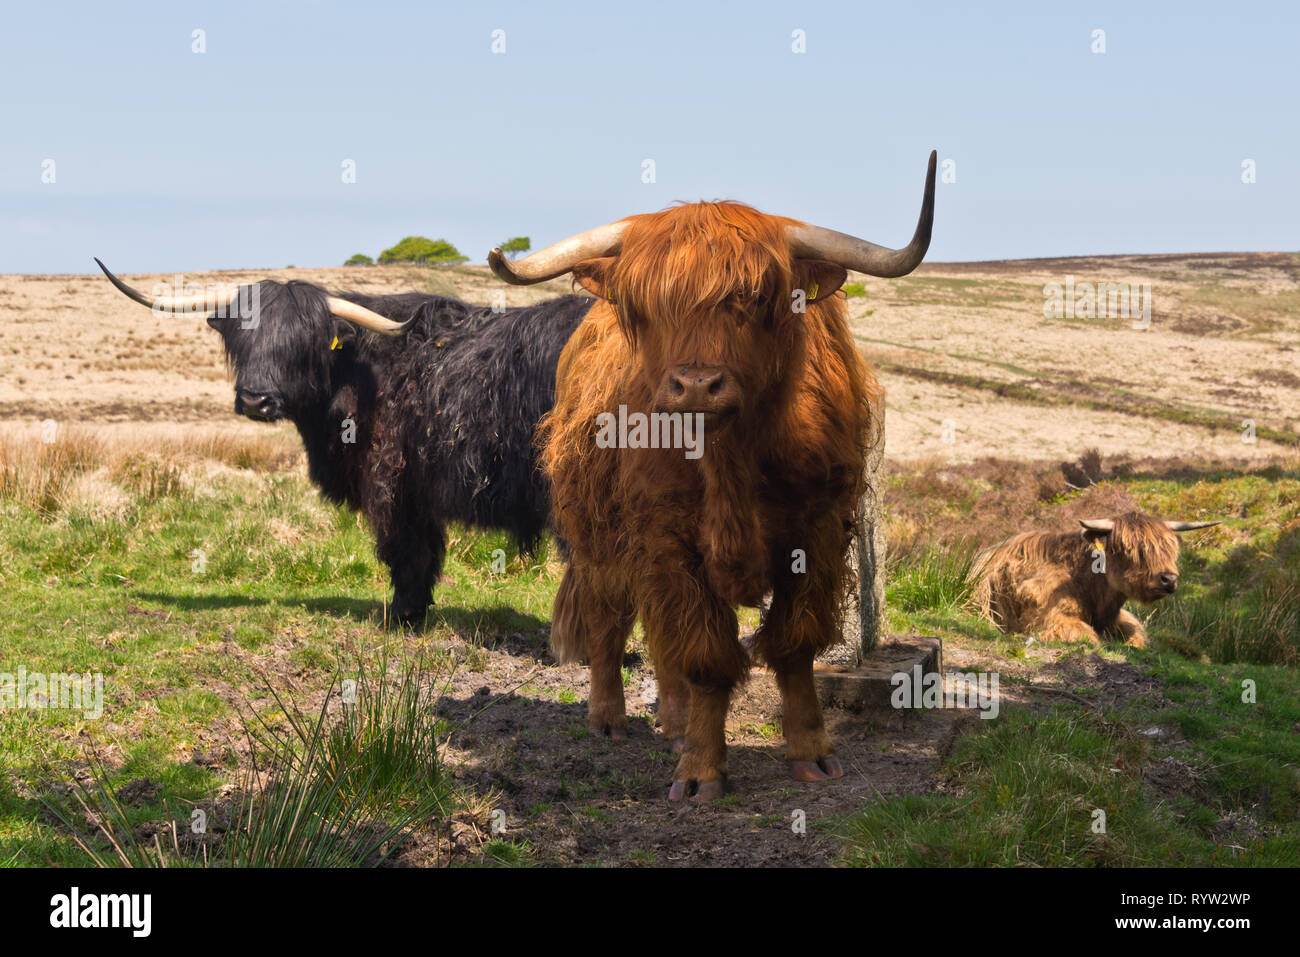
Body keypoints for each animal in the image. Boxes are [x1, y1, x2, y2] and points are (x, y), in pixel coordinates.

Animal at [96, 259, 592, 626]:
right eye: (242, 338)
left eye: (302, 343)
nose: (256, 399)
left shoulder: (391, 480)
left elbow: (407, 550)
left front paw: (404, 615)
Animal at [486, 152, 937, 801]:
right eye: (644, 306)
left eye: (754, 297)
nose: (696, 385)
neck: (729, 463)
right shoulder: (668, 537)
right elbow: (705, 656)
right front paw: (701, 771)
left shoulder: (819, 532)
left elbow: (793, 646)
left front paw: (810, 751)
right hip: (599, 537)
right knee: (608, 621)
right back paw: (608, 718)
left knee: (658, 635)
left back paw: (674, 724)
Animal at [970, 511, 1219, 647]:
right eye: (1130, 550)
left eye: (1169, 549)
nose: (1168, 579)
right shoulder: (1049, 618)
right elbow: (1088, 637)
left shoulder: (1121, 618)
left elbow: (1137, 637)